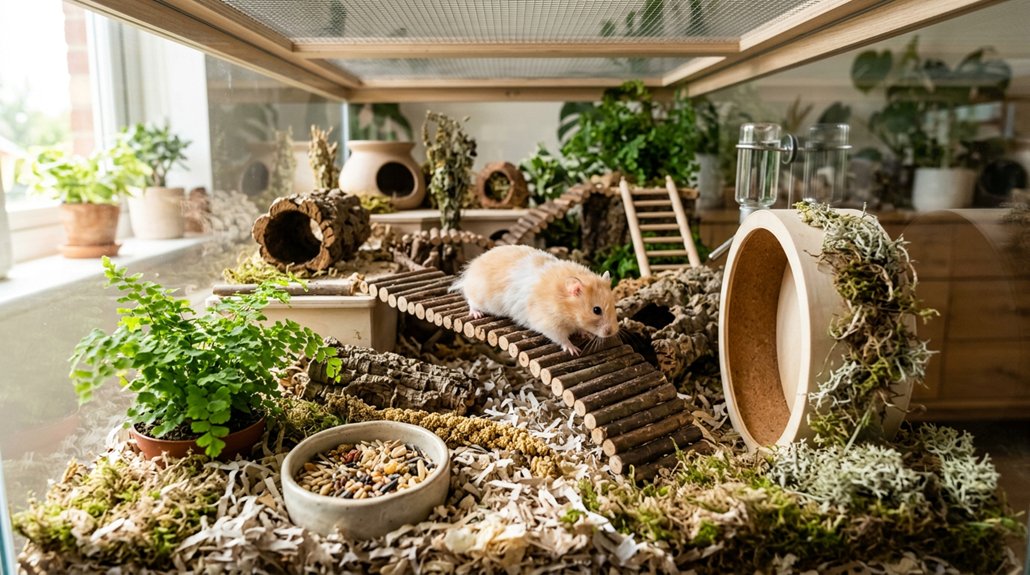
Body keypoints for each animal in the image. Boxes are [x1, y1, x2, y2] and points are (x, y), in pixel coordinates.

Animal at [450, 244, 619, 355]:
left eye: (614, 306)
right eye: (596, 310)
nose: (613, 332)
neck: (564, 306)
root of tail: (470, 272)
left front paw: (585, 334)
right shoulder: (549, 323)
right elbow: (561, 338)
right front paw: (574, 350)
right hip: (482, 298)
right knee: (470, 300)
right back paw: (476, 314)